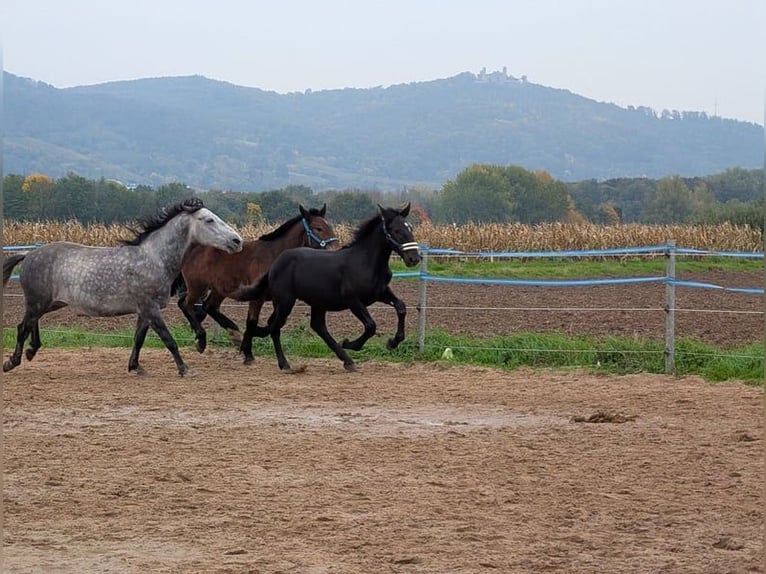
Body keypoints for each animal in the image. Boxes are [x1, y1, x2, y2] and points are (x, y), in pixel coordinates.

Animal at [3, 198, 243, 376]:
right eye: (209, 220)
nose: (237, 241)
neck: (154, 259)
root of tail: (28, 254)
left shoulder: (145, 311)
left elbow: (139, 339)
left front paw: (135, 367)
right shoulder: (150, 309)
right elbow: (169, 340)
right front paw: (185, 369)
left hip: (51, 303)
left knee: (30, 324)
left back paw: (31, 351)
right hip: (38, 301)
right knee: (22, 327)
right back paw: (12, 362)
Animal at [174, 203, 339, 363]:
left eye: (330, 226)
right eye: (318, 228)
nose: (335, 249)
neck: (275, 255)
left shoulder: (279, 298)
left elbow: (273, 322)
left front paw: (250, 343)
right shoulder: (257, 297)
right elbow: (252, 321)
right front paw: (248, 353)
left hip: (219, 289)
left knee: (208, 306)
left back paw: (233, 333)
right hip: (198, 287)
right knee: (186, 304)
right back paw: (202, 339)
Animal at [236, 203, 420, 372]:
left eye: (410, 227)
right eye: (396, 230)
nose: (414, 258)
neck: (366, 262)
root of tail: (276, 263)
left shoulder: (380, 293)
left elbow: (401, 307)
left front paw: (393, 342)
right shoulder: (353, 300)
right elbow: (370, 325)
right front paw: (350, 343)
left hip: (315, 302)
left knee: (317, 326)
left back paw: (347, 361)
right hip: (285, 301)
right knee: (275, 328)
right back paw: (284, 364)